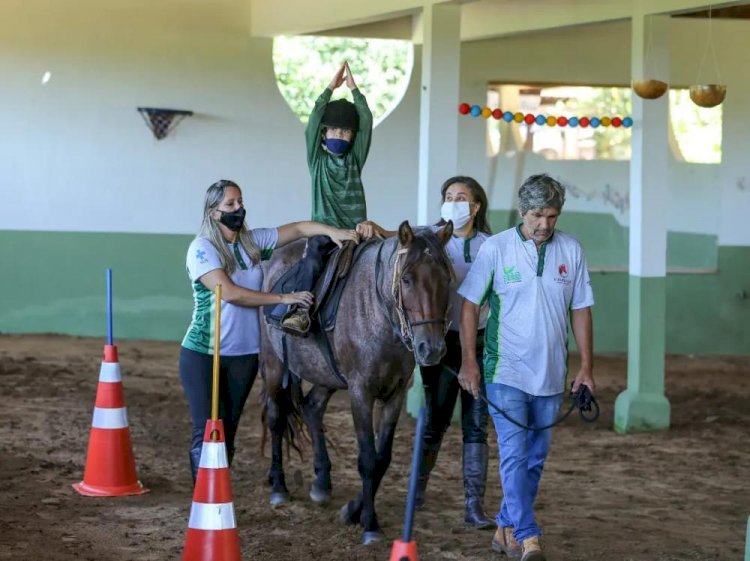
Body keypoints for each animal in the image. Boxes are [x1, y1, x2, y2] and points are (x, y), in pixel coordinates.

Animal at [262, 220, 456, 544]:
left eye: (446, 279)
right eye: (406, 280)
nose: (432, 349)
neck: (377, 310)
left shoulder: (394, 396)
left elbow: (382, 459)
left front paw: (353, 511)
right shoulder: (360, 393)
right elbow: (367, 458)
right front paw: (370, 524)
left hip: (326, 374)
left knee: (312, 408)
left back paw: (321, 483)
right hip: (274, 366)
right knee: (277, 420)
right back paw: (278, 486)